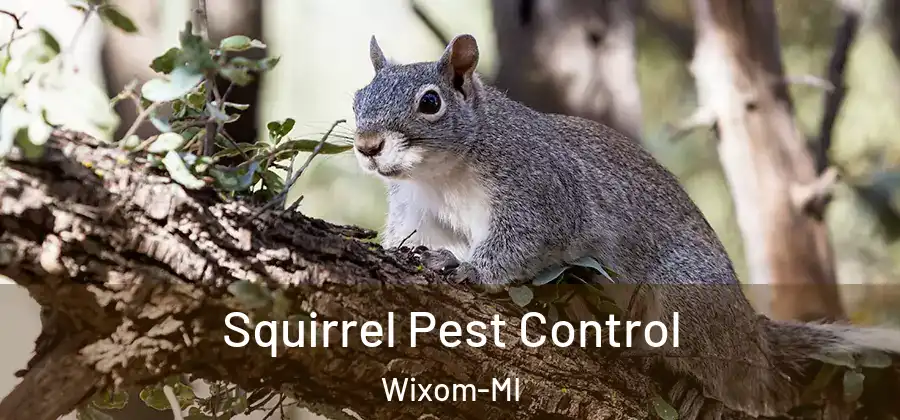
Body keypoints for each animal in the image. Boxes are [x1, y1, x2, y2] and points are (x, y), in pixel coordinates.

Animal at [351, 34, 900, 418]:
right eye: (358, 97)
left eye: (430, 102)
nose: (367, 145)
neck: (441, 173)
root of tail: (750, 331)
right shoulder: (418, 211)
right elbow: (410, 238)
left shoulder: (542, 191)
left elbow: (522, 241)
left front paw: (470, 269)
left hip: (687, 298)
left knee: (746, 384)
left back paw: (702, 392)